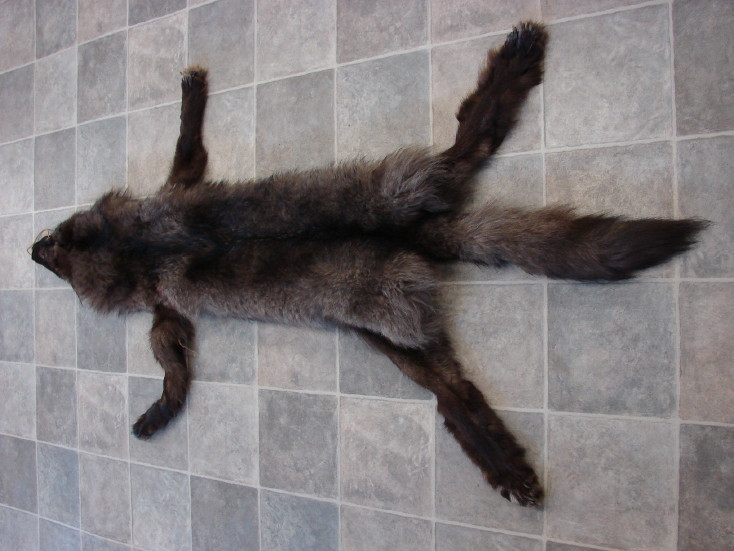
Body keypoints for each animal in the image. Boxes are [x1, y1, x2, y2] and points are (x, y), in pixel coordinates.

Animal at [31, 22, 704, 506]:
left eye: (56, 253)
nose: (31, 250)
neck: (135, 248)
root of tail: (413, 234)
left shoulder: (168, 273)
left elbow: (173, 366)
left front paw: (159, 413)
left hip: (388, 316)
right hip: (398, 269)